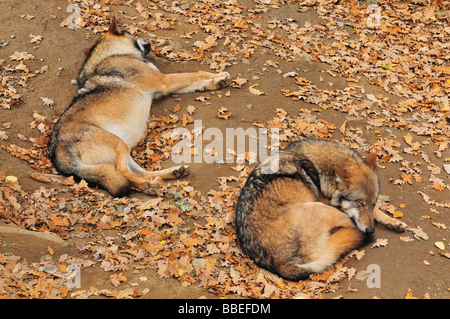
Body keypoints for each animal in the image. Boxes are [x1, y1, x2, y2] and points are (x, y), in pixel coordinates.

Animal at [48, 18, 230, 198]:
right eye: (129, 32)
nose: (149, 39)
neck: (113, 55)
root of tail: (56, 155)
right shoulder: (165, 82)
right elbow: (196, 73)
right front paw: (218, 78)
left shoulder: (160, 90)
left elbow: (197, 80)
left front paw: (215, 80)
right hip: (119, 144)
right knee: (123, 174)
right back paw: (150, 186)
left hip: (124, 150)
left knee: (140, 173)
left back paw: (173, 173)